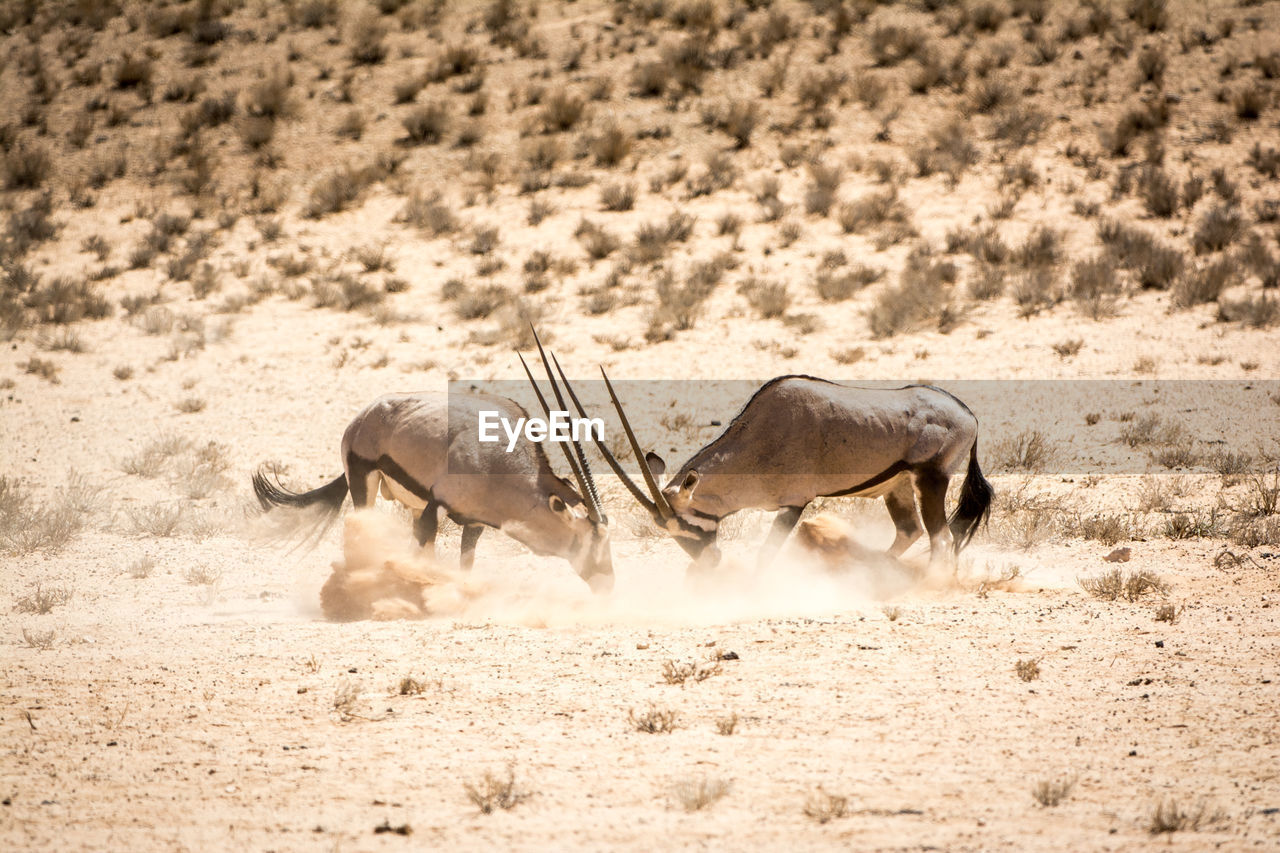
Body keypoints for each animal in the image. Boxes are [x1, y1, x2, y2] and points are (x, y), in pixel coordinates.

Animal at [253, 343, 614, 589]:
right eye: (590, 540)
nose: (607, 583)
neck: (502, 463)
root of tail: (364, 416)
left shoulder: (473, 524)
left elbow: (464, 564)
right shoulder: (436, 508)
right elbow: (416, 556)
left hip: (412, 504)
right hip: (365, 484)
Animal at [555, 368, 993, 573]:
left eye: (689, 524)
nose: (708, 560)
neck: (759, 439)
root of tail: (969, 415)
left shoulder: (793, 504)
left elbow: (766, 554)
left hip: (931, 479)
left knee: (940, 538)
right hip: (897, 487)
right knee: (911, 532)